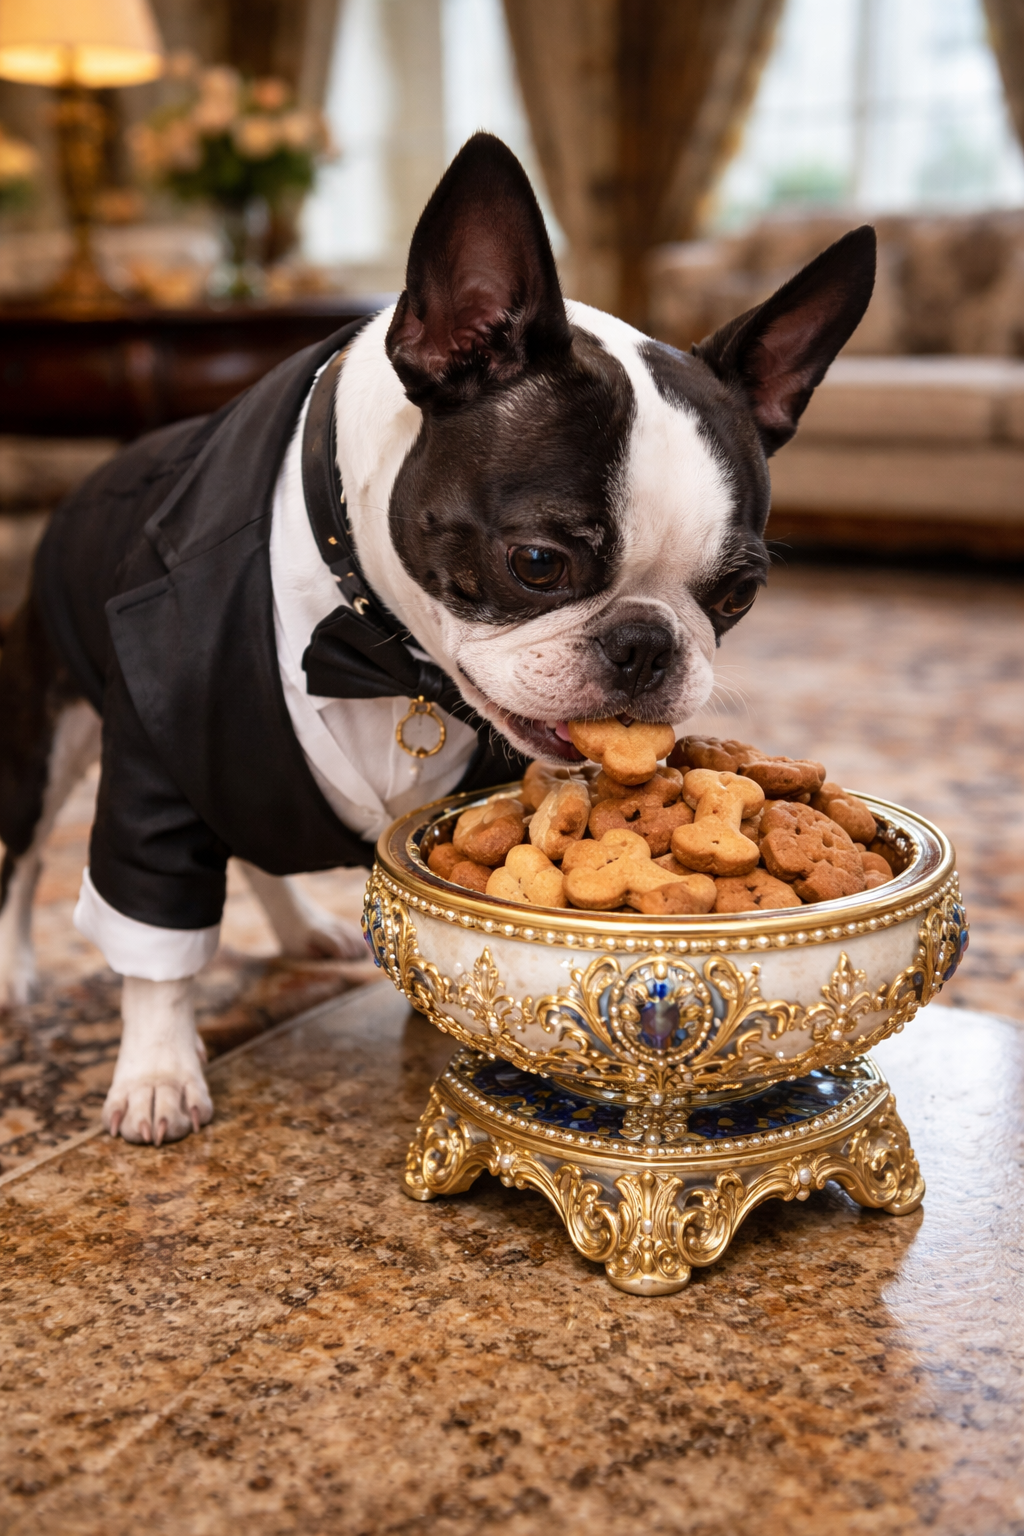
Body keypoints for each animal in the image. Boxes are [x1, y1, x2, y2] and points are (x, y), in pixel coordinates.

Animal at [0, 134, 875, 1146]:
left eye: (738, 594)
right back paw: (15, 969)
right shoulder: (158, 765)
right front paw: (155, 1070)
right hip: (49, 731)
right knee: (27, 851)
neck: (380, 650)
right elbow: (155, 945)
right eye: (537, 563)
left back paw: (298, 928)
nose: (647, 647)